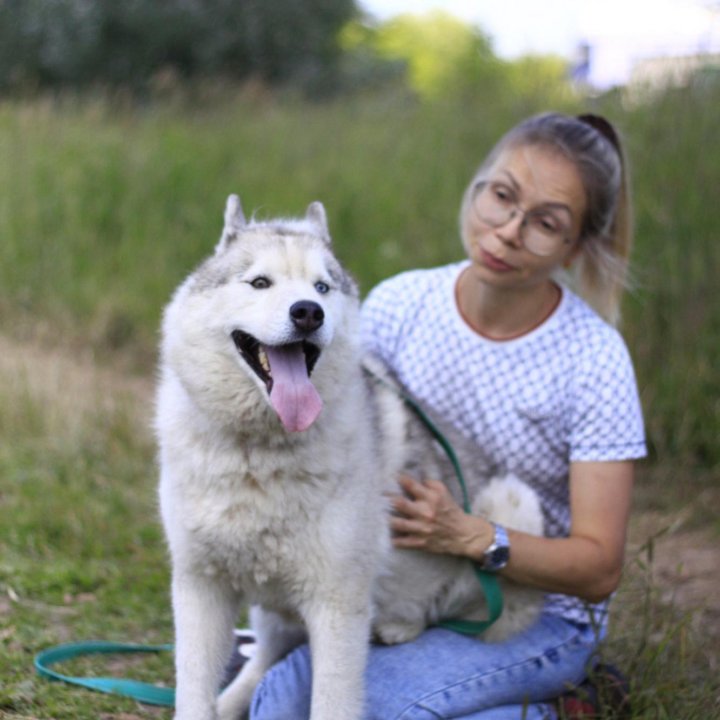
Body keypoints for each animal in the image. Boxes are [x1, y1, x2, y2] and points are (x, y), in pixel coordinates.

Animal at [155, 197, 544, 720]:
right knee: (263, 658)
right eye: (260, 283)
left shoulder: (337, 604)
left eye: (322, 287)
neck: (257, 452)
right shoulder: (201, 586)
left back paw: (400, 624)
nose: (308, 312)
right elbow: (194, 691)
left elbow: (332, 702)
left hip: (513, 506)